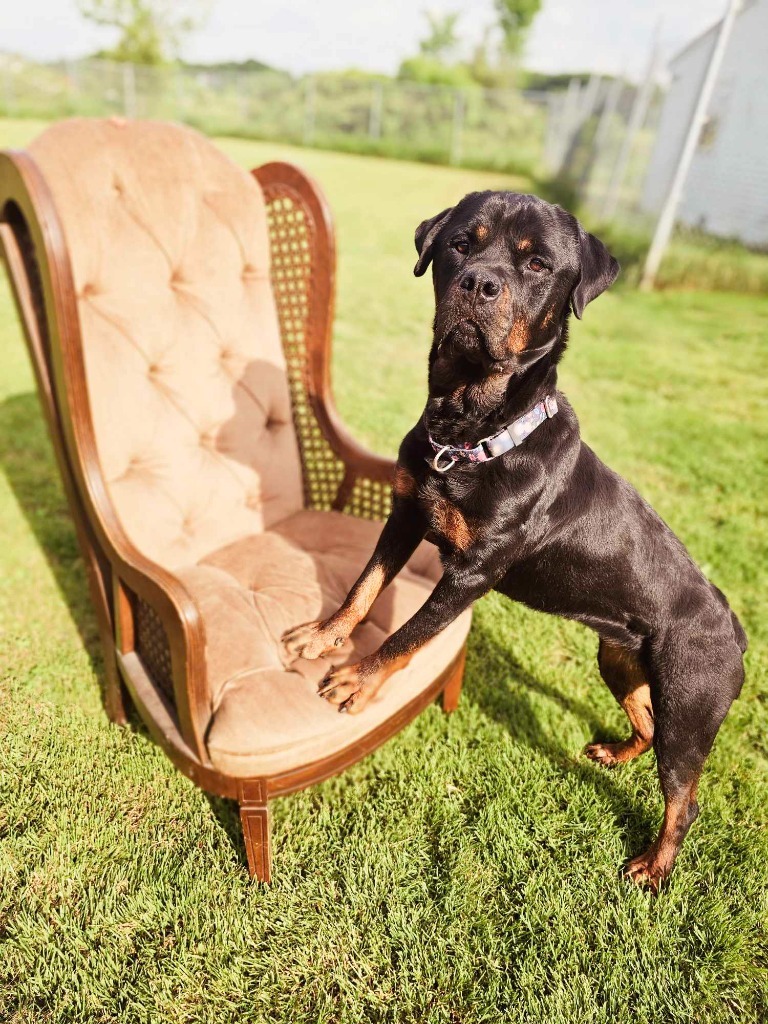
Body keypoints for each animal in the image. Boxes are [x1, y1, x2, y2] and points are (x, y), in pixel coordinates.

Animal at [280, 190, 745, 888]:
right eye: (460, 244)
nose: (479, 284)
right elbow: (363, 588)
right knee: (644, 720)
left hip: (692, 704)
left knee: (682, 797)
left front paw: (358, 679)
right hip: (619, 659)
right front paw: (322, 635)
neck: (474, 430)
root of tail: (735, 631)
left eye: (537, 264)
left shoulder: (472, 572)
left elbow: (408, 633)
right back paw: (614, 752)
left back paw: (652, 867)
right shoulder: (406, 513)